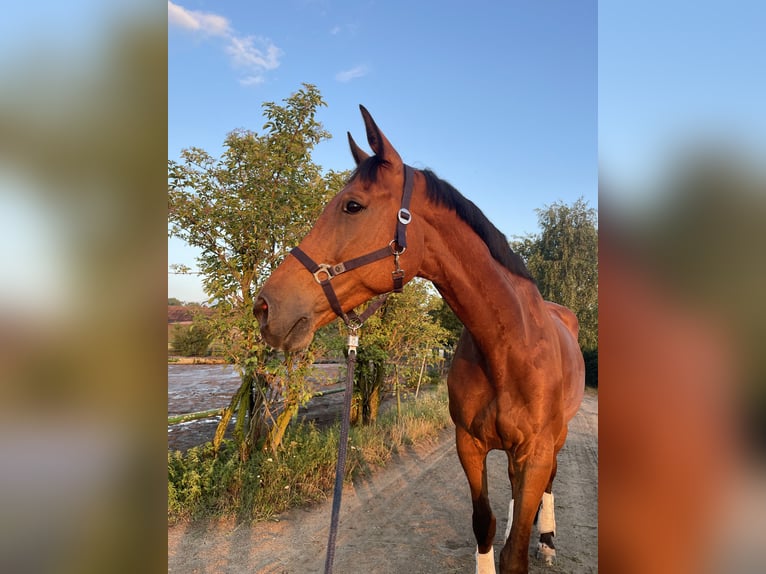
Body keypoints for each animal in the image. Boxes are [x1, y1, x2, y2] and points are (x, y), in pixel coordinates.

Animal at [255, 106, 585, 574]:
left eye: (352, 206)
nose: (265, 307)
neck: (508, 346)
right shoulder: (469, 444)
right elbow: (484, 523)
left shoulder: (536, 451)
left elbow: (517, 549)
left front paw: (534, 540)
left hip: (557, 438)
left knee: (547, 486)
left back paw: (549, 540)